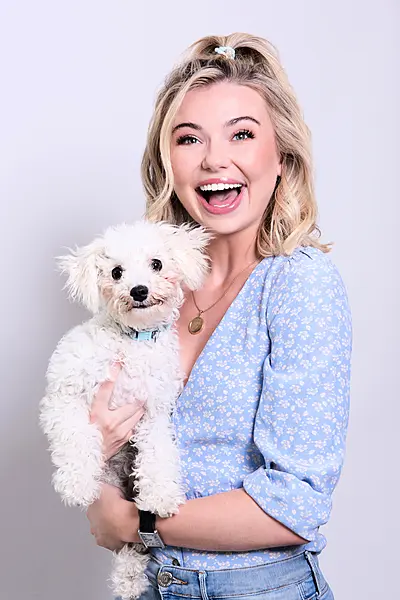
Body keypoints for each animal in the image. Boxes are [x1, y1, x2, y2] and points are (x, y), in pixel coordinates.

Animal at [39, 220, 211, 600]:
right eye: (116, 272)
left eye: (157, 264)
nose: (139, 290)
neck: (134, 341)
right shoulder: (65, 396)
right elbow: (78, 436)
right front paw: (76, 483)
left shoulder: (154, 413)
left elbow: (158, 455)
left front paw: (161, 494)